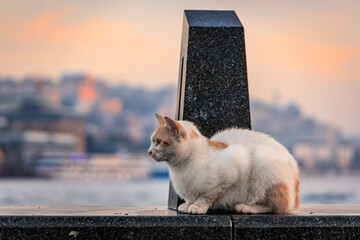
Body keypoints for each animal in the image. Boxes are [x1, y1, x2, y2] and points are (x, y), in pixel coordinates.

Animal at [148, 113, 300, 215]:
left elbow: (207, 196)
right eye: (151, 141)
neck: (179, 168)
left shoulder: (230, 173)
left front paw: (197, 206)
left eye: (158, 141)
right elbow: (193, 197)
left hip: (265, 164)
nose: (149, 152)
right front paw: (188, 204)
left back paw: (247, 207)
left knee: (276, 206)